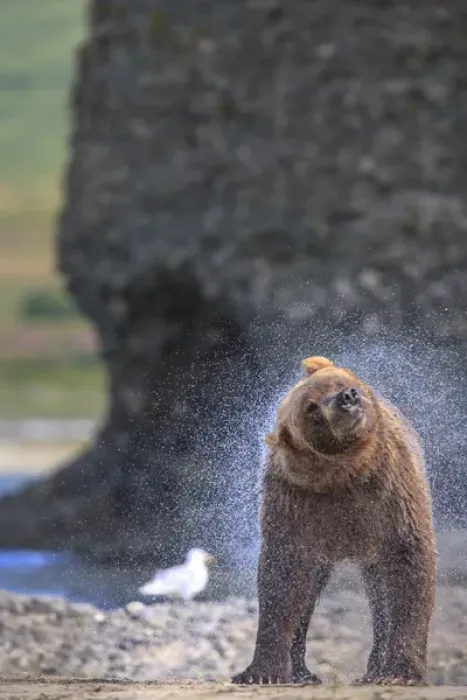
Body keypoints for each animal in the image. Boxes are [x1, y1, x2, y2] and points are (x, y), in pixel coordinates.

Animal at [232, 356, 437, 686]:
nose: (347, 397)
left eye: (338, 382)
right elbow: (282, 580)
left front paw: (399, 672)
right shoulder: (296, 504)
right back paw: (302, 673)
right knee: (308, 594)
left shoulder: (392, 494)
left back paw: (371, 670)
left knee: (379, 593)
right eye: (311, 407)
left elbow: (408, 568)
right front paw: (260, 672)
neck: (347, 473)